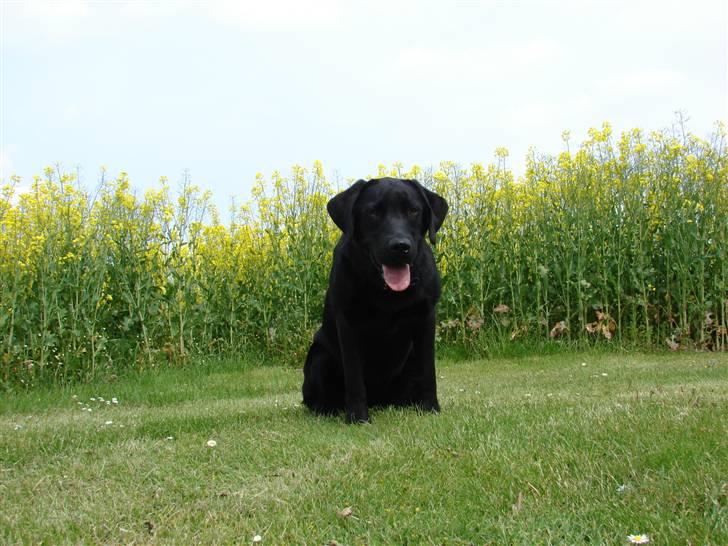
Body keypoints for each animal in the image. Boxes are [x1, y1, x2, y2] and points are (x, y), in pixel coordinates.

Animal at [302, 176, 450, 422]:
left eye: (413, 210)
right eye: (373, 212)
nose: (400, 246)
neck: (386, 291)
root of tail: (379, 401)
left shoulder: (426, 316)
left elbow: (428, 370)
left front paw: (430, 408)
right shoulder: (348, 322)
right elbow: (354, 377)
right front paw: (357, 417)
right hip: (319, 359)